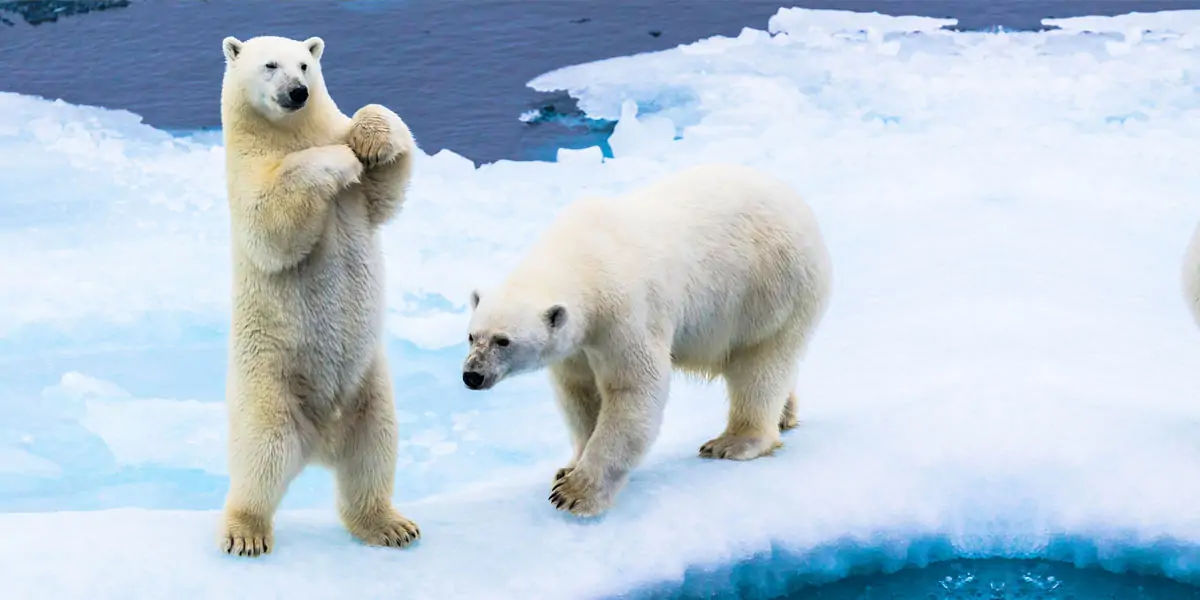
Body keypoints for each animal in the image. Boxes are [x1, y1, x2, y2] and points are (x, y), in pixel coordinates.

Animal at [218, 35, 418, 556]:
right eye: (270, 65)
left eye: (305, 64)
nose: (297, 92)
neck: (289, 133)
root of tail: (321, 443)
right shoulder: (246, 173)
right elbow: (271, 224)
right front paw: (339, 159)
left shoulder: (361, 197)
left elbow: (387, 187)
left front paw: (369, 140)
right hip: (269, 385)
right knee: (261, 459)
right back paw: (245, 531)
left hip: (369, 389)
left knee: (373, 452)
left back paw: (390, 525)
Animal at [462, 164, 832, 516]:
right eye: (471, 336)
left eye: (503, 341)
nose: (471, 375)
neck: (583, 257)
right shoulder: (578, 344)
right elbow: (580, 393)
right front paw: (568, 468)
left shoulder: (624, 312)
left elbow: (633, 389)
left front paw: (575, 493)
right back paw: (785, 414)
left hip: (770, 288)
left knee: (759, 364)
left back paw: (733, 441)